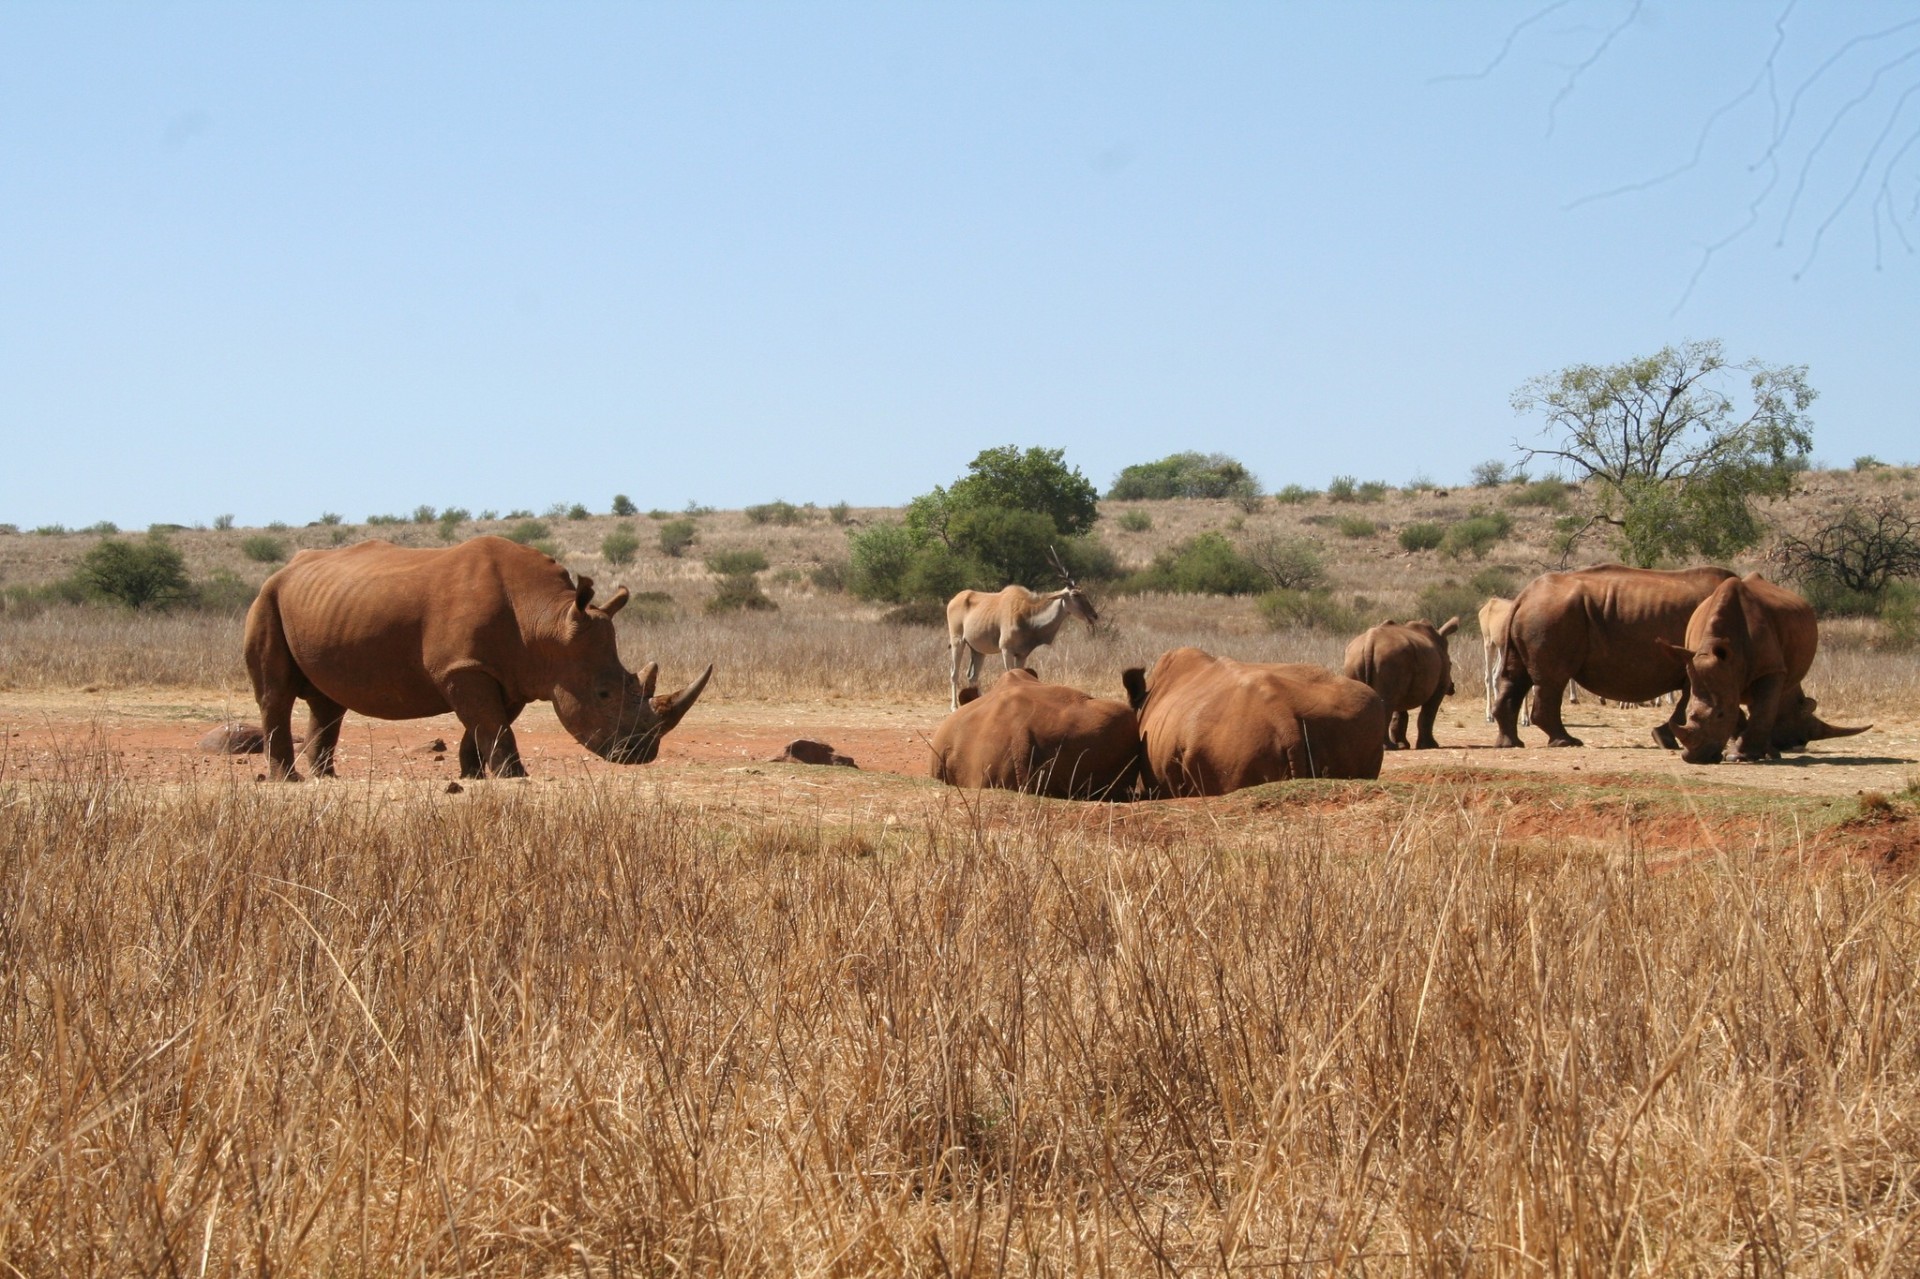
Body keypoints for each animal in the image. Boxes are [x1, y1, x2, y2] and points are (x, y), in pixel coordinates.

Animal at [244, 537, 712, 780]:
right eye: (604, 694)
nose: (643, 753)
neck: (547, 620)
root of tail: (285, 568)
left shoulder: (509, 672)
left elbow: (486, 722)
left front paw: (472, 774)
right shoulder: (464, 667)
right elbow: (490, 721)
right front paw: (513, 776)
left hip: (322, 605)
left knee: (328, 700)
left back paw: (326, 776)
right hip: (266, 598)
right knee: (276, 694)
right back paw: (289, 780)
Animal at [1342, 616, 1459, 750]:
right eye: (1451, 664)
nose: (1452, 687)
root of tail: (1369, 643)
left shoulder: (1403, 679)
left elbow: (1400, 714)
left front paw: (1403, 745)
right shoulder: (1439, 687)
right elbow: (1428, 714)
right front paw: (1430, 745)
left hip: (1355, 658)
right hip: (1389, 659)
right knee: (1387, 703)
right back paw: (1388, 747)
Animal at [1492, 564, 1735, 749]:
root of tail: (1523, 597)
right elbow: (1696, 699)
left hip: (1539, 614)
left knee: (1518, 678)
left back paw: (1511, 744)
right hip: (1550, 614)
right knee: (1553, 680)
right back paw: (1567, 742)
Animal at [1657, 573, 1869, 764]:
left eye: (1720, 715)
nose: (1694, 758)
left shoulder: (1770, 669)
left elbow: (1761, 710)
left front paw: (1738, 757)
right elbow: (1743, 708)